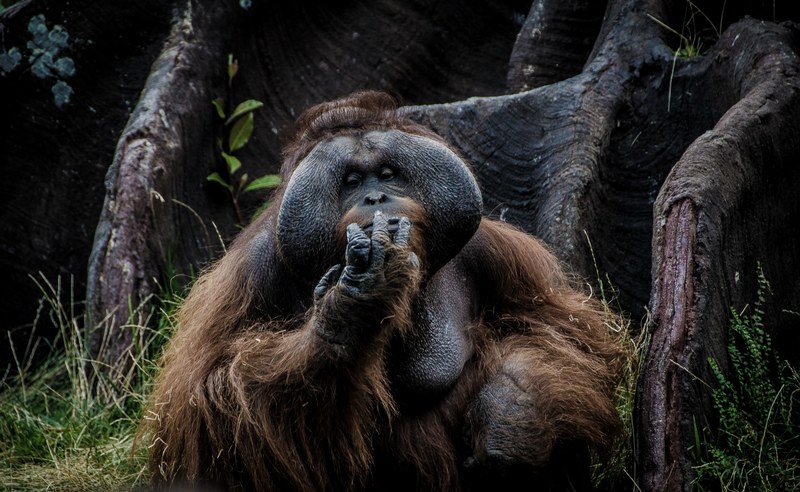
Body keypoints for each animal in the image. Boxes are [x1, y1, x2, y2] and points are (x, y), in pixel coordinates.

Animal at [141, 91, 627, 491]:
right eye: (352, 181)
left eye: (389, 173)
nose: (375, 199)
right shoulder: (251, 274)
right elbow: (209, 408)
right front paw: (353, 306)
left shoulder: (494, 251)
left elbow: (556, 329)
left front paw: (509, 422)